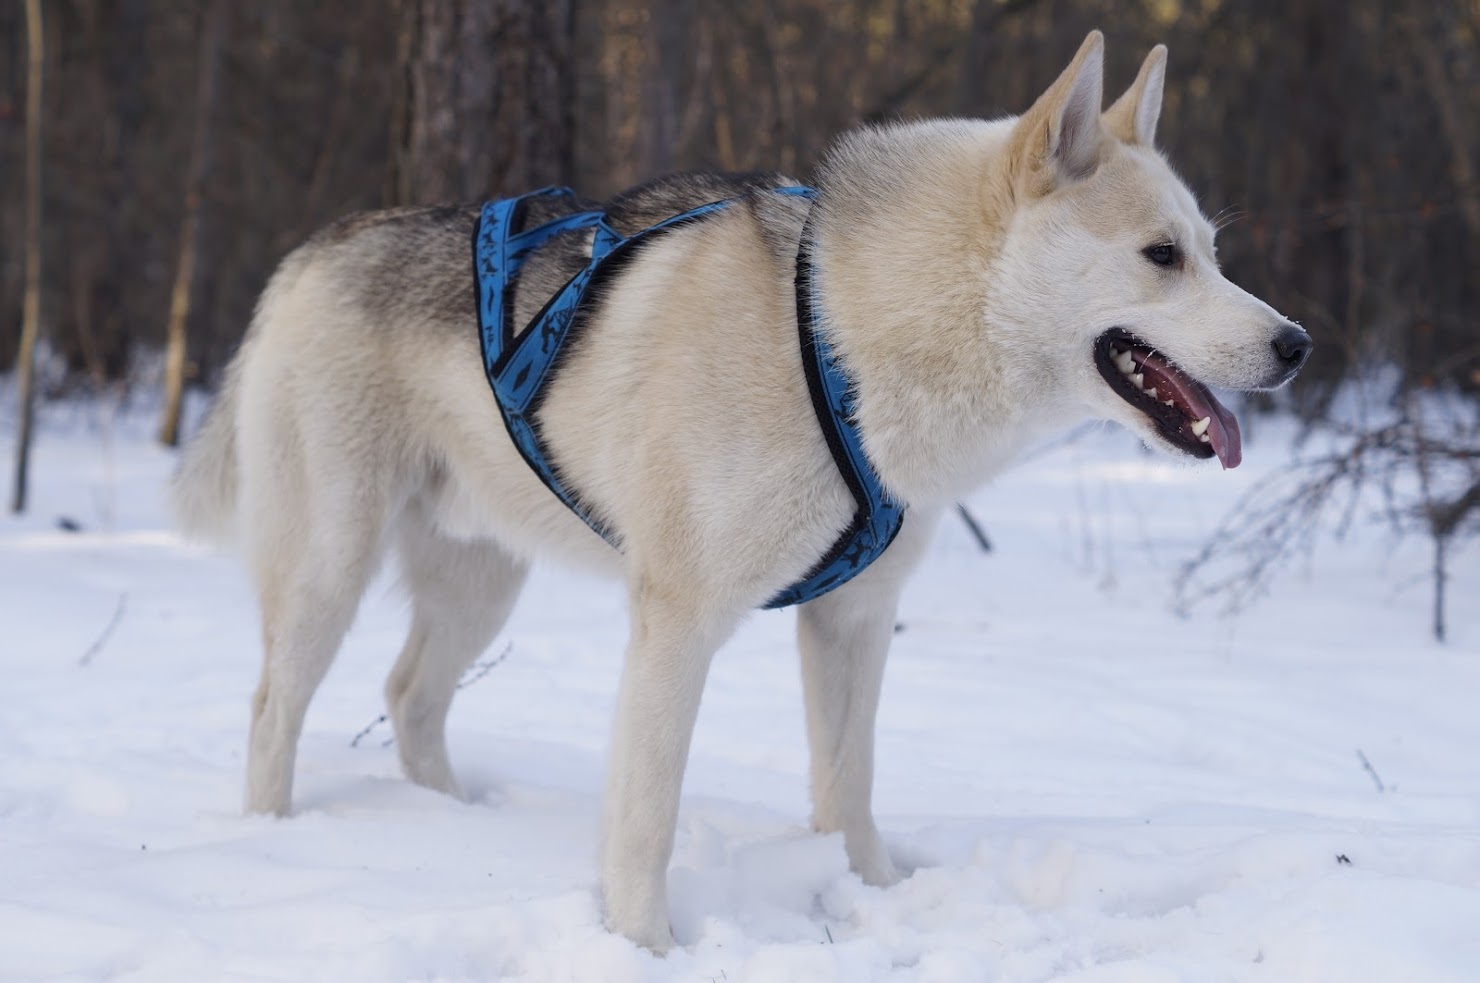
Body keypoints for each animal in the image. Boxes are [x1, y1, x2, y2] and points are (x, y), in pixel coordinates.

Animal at [170, 32, 1308, 953]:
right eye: (1160, 256)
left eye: (1212, 252)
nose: (1296, 345)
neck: (846, 334)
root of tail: (310, 252)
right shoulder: (677, 624)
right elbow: (646, 819)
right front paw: (646, 947)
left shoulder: (855, 619)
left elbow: (848, 785)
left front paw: (870, 897)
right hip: (333, 567)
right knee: (273, 706)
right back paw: (273, 838)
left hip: (481, 585)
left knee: (410, 697)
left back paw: (456, 824)